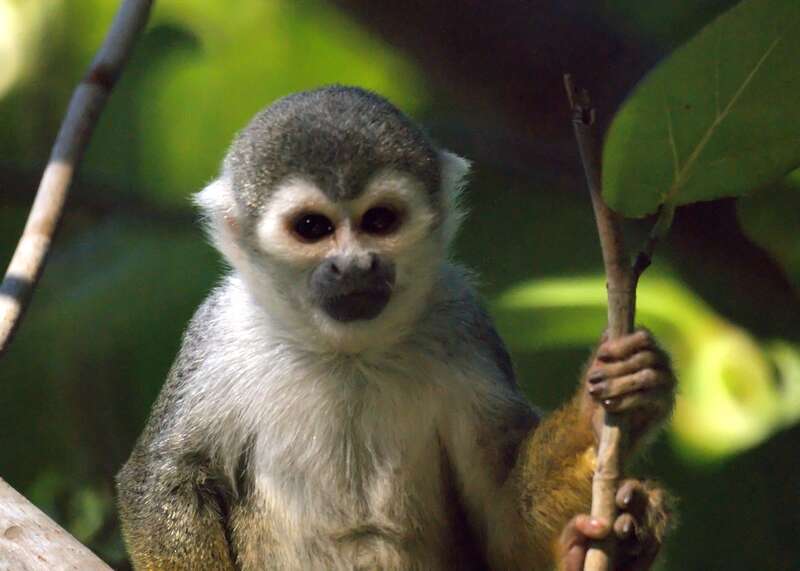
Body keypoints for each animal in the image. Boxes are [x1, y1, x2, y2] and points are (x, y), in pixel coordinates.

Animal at [116, 85, 674, 571]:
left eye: (379, 221)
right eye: (313, 228)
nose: (354, 266)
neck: (348, 352)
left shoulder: (465, 323)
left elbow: (500, 519)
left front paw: (603, 406)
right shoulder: (220, 334)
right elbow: (161, 481)